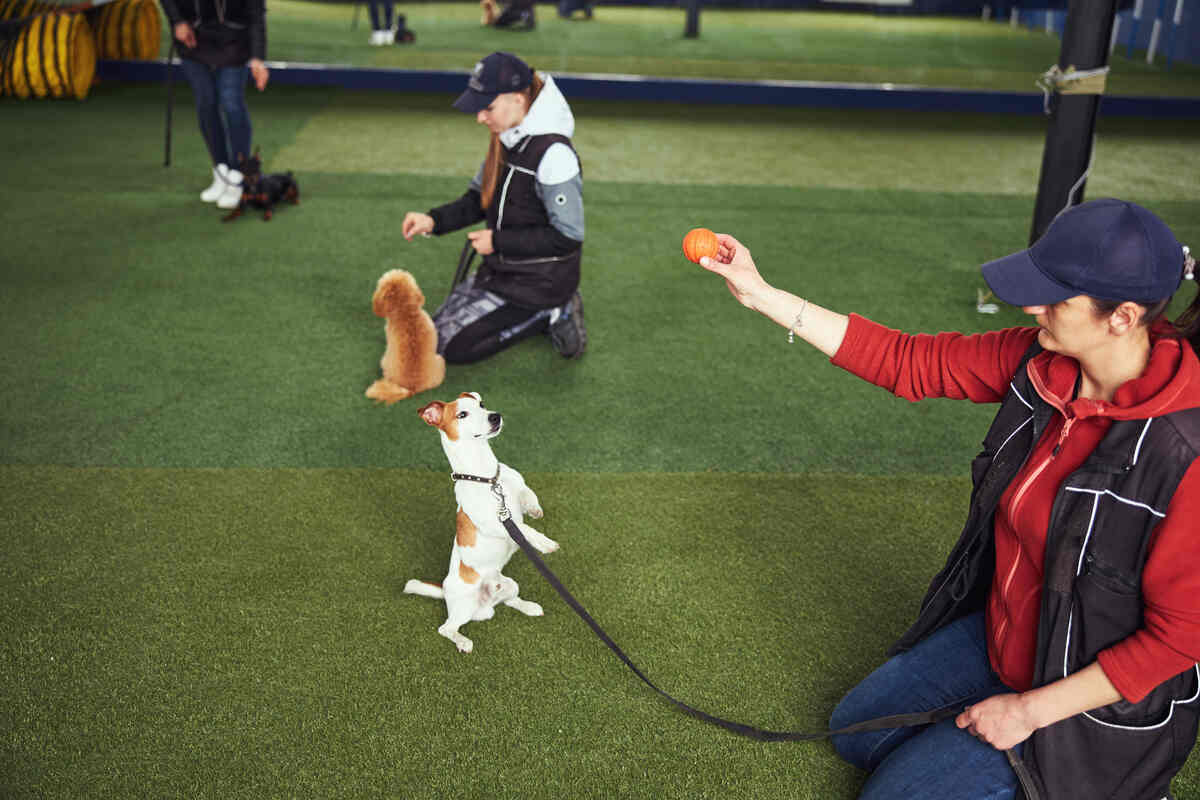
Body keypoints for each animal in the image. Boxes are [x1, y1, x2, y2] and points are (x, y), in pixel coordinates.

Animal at [405, 391, 559, 652]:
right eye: (462, 414)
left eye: (482, 404)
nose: (495, 416)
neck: (487, 478)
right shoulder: (492, 523)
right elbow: (522, 528)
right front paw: (543, 542)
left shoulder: (518, 486)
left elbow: (528, 496)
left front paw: (535, 510)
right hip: (464, 606)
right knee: (446, 628)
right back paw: (463, 641)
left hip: (511, 585)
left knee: (510, 601)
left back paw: (529, 607)